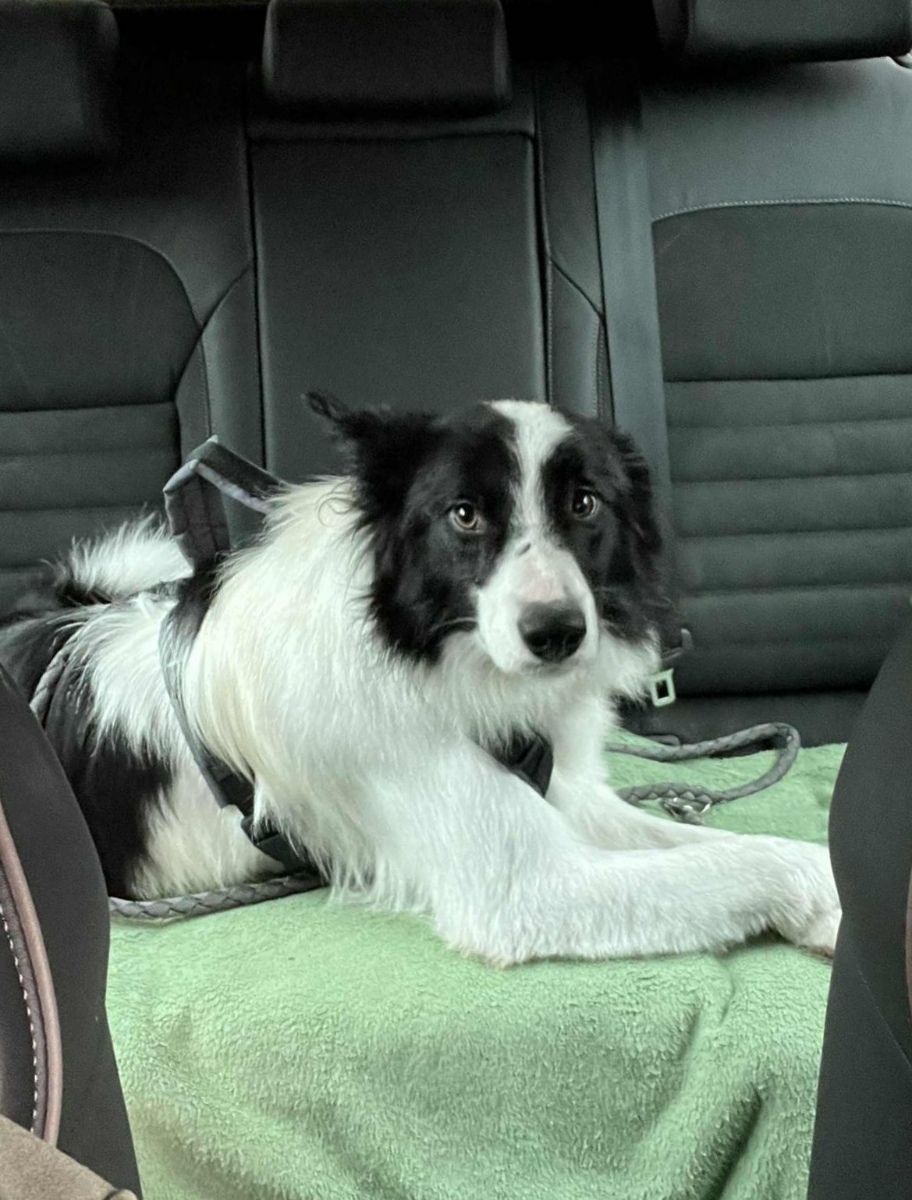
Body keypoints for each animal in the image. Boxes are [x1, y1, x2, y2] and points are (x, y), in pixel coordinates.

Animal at [0, 397, 840, 964]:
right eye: (464, 515)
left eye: (585, 503)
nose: (557, 633)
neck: (425, 652)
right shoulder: (523, 888)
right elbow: (737, 862)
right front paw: (824, 908)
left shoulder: (569, 798)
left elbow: (725, 841)